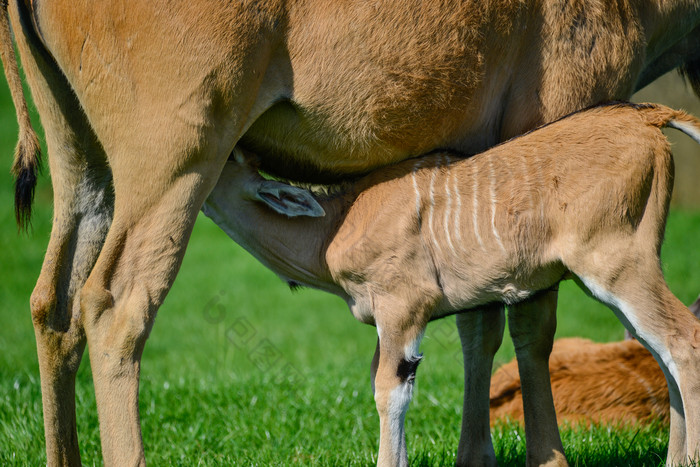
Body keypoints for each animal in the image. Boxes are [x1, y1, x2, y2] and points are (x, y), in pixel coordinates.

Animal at [205, 102, 700, 464]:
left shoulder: (404, 310)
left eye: (231, 155)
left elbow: (389, 391)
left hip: (618, 267)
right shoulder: (389, 324)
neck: (337, 224)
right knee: (658, 351)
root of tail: (645, 116)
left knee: (683, 341)